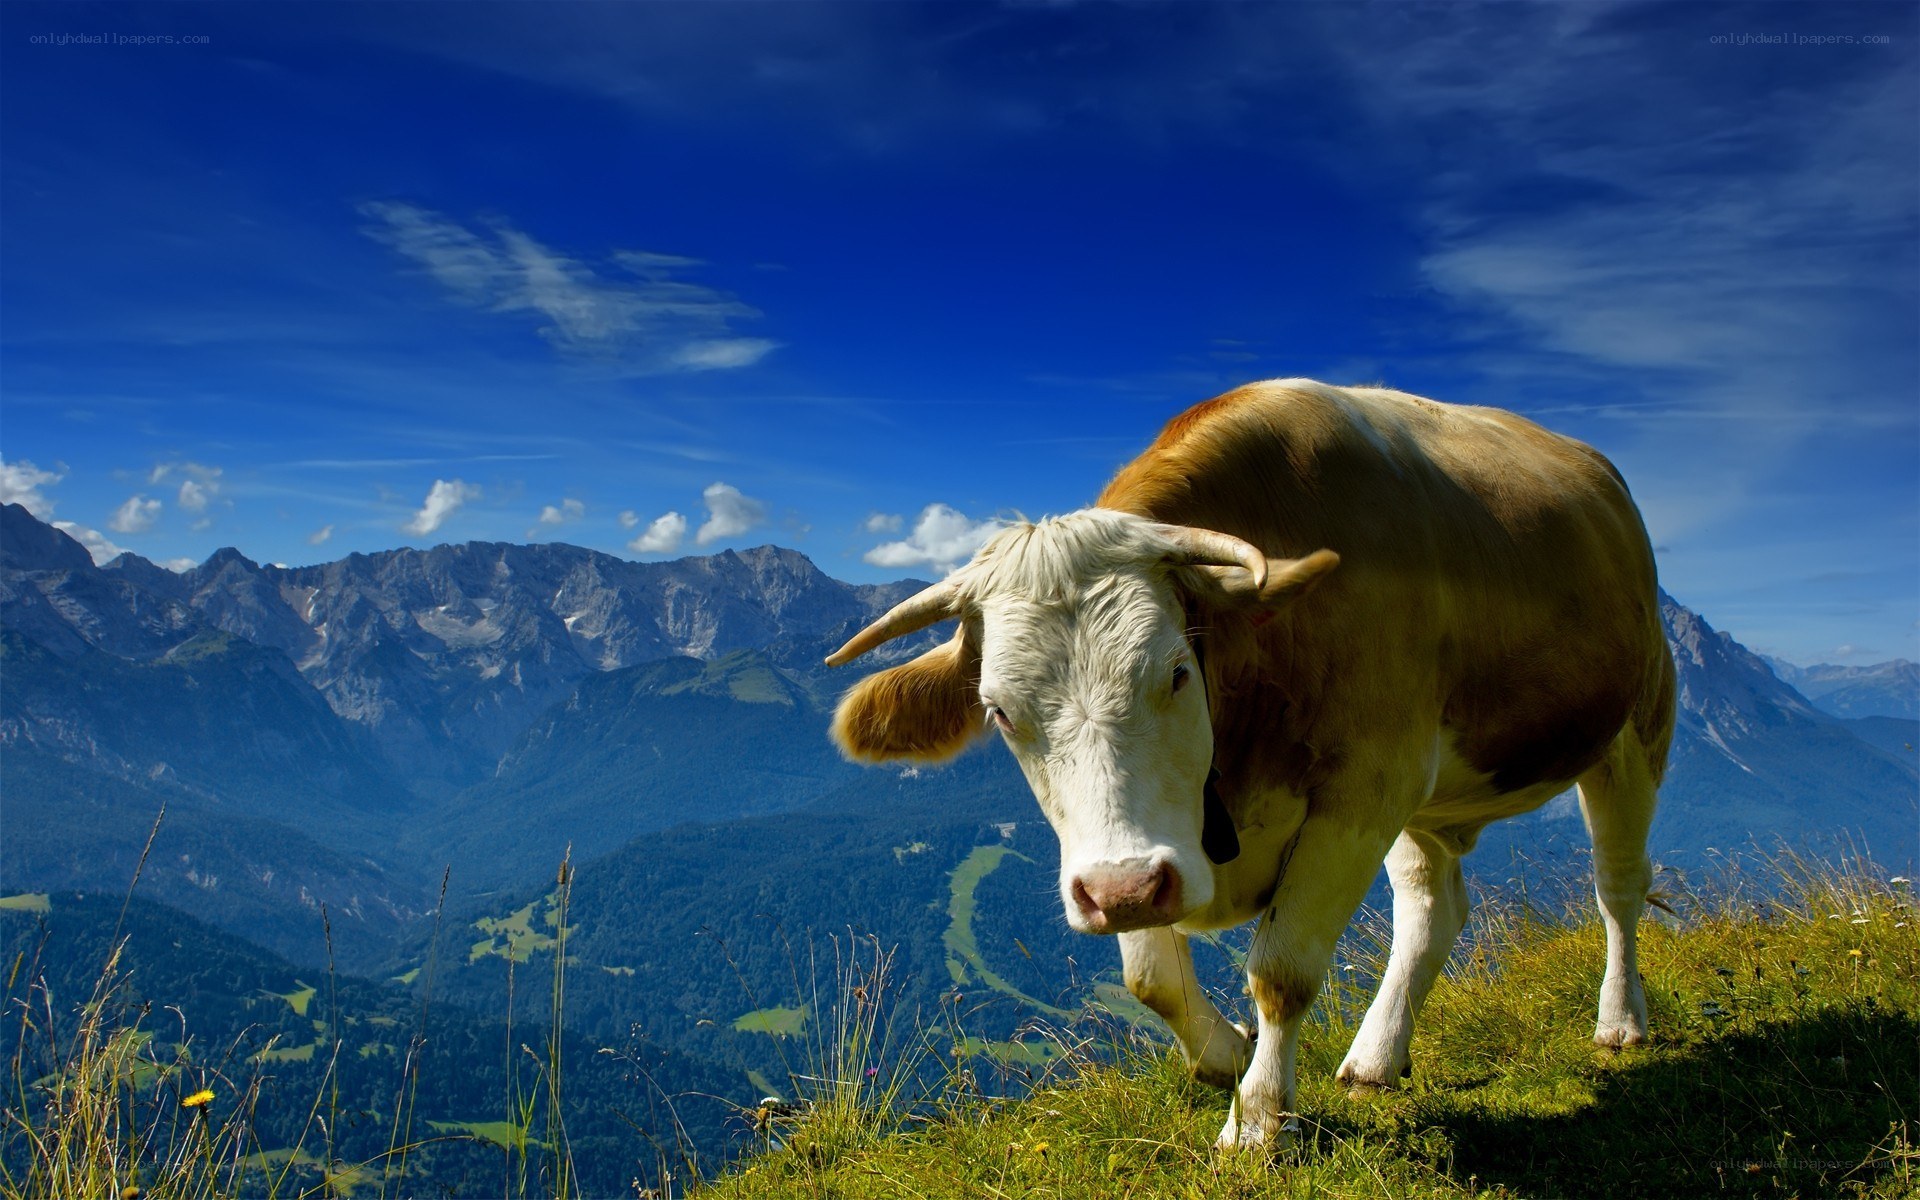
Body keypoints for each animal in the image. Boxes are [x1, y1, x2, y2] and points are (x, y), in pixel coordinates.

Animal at [824, 378, 1675, 1151]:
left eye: (1175, 673)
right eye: (1000, 711)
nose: (1121, 891)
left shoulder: (1362, 792)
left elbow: (1282, 971)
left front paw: (1259, 1121)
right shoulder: (1156, 848)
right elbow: (1150, 977)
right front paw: (1229, 1055)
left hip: (1635, 728)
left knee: (1618, 886)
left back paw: (1621, 1020)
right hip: (1429, 802)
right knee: (1433, 906)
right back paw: (1377, 1057)